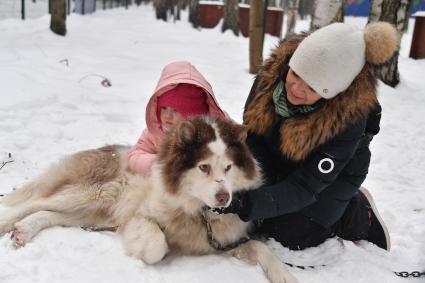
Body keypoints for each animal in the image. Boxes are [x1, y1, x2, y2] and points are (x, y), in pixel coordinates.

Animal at [0, 117, 296, 283]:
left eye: (228, 168)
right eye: (203, 167)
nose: (224, 198)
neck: (198, 212)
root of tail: (109, 149)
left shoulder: (221, 243)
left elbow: (261, 248)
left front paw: (285, 276)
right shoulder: (139, 216)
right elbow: (156, 244)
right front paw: (147, 251)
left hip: (92, 209)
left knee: (51, 215)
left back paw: (24, 231)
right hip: (96, 193)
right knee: (33, 204)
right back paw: (8, 223)